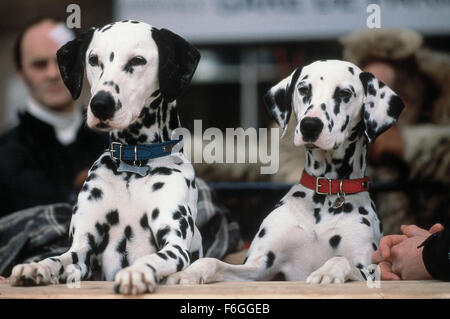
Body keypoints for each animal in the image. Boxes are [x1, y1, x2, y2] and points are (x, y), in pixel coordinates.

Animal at [9, 20, 203, 296]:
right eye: (93, 59)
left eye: (137, 60)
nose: (100, 104)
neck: (134, 164)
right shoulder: (81, 251)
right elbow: (58, 258)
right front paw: (36, 267)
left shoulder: (175, 245)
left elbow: (154, 258)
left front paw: (136, 271)